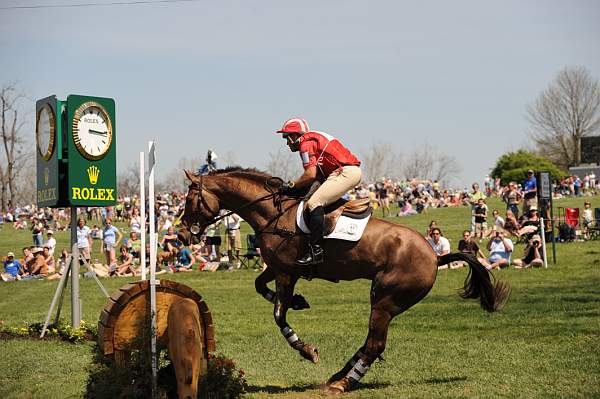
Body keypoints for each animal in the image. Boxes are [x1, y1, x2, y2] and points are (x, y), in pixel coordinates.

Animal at [178, 166, 510, 394]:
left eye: (190, 200)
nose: (182, 235)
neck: (273, 214)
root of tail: (434, 255)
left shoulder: (287, 272)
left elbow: (278, 315)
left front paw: (307, 349)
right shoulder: (278, 267)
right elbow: (261, 287)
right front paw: (299, 302)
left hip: (385, 298)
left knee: (375, 343)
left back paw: (343, 383)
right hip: (387, 301)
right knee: (371, 343)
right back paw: (340, 375)